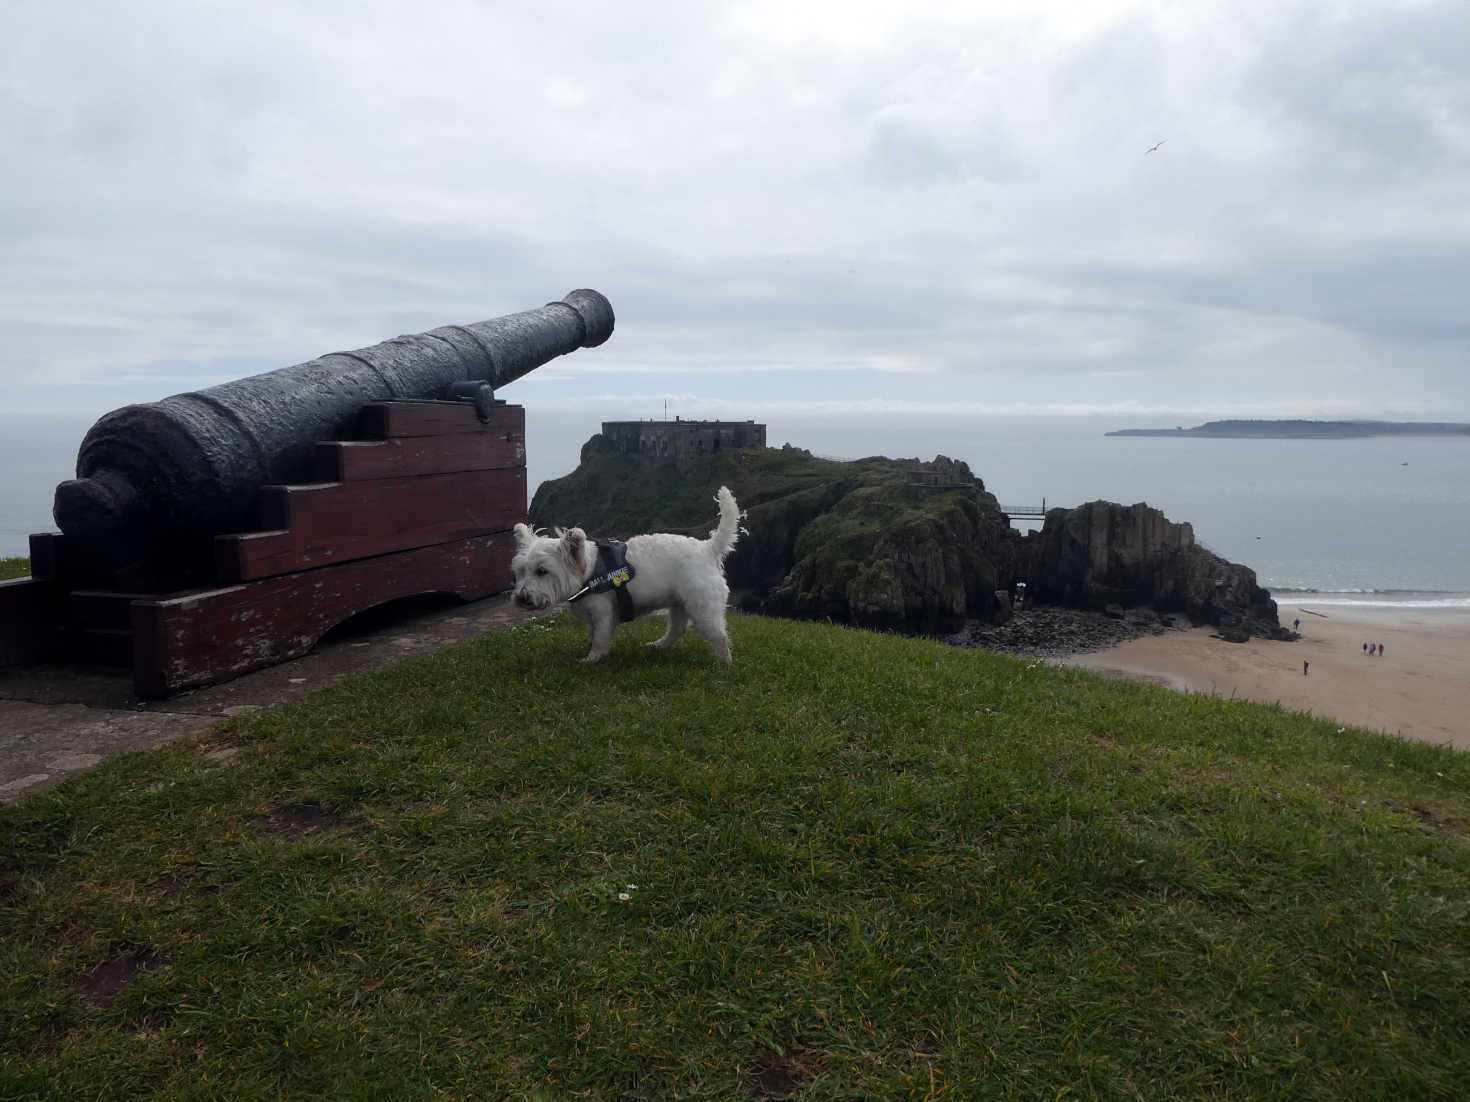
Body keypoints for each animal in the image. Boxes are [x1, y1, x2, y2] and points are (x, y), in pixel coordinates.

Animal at [511, 490, 740, 664]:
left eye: (542, 571)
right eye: (520, 571)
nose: (521, 598)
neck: (588, 571)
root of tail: (708, 548)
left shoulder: (602, 612)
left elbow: (600, 638)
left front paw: (592, 659)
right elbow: (596, 635)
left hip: (703, 608)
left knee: (719, 636)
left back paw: (723, 663)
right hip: (679, 603)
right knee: (677, 629)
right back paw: (658, 645)